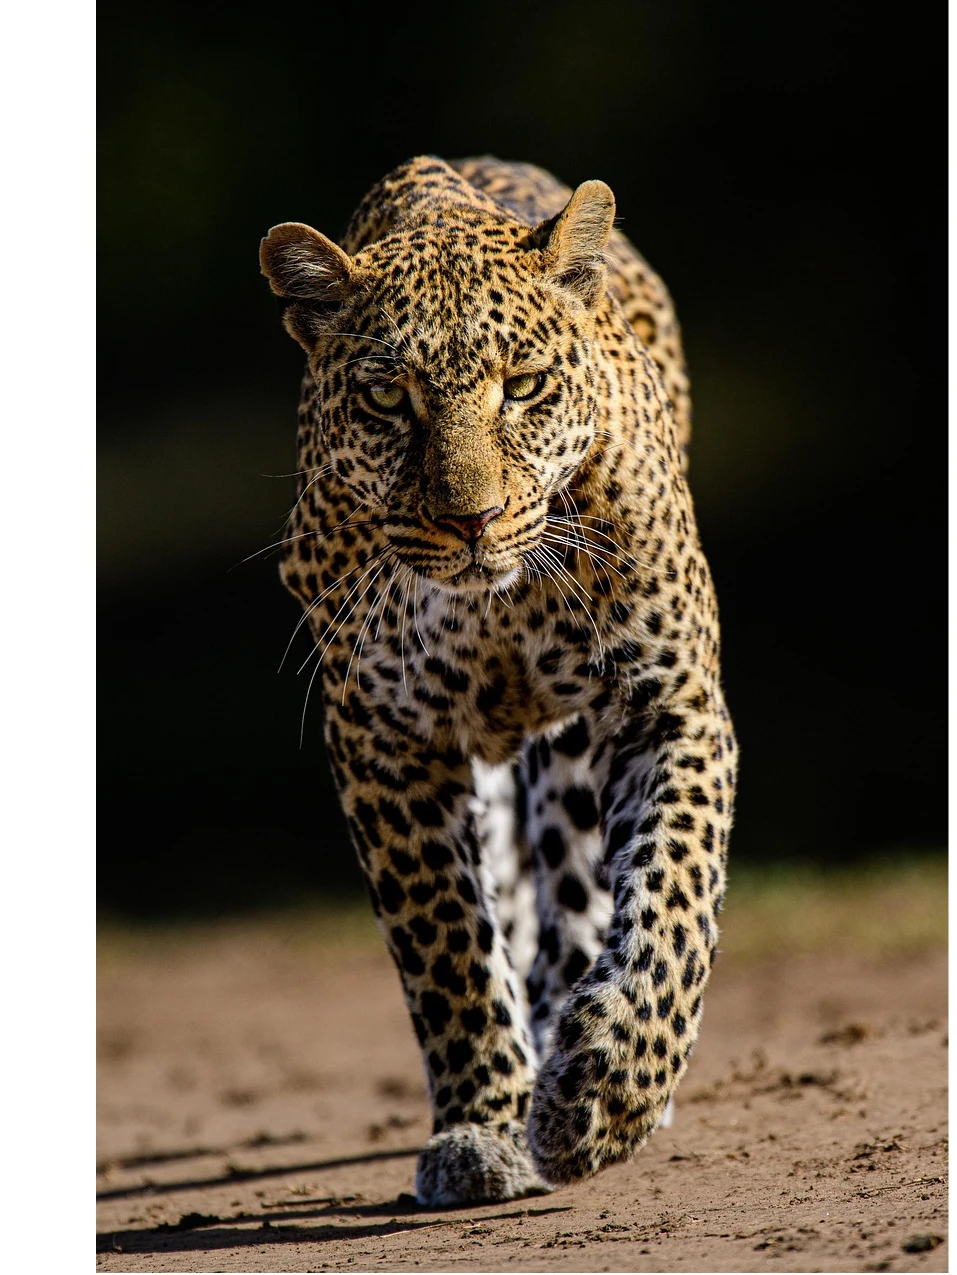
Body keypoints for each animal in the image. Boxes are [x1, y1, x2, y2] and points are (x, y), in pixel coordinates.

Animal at [259, 154, 736, 1206]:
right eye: (388, 400)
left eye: (522, 387)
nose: (469, 520)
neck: (496, 607)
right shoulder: (383, 738)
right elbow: (446, 941)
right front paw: (482, 1126)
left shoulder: (669, 702)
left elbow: (672, 899)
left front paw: (606, 1090)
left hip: (572, 752)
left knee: (581, 888)